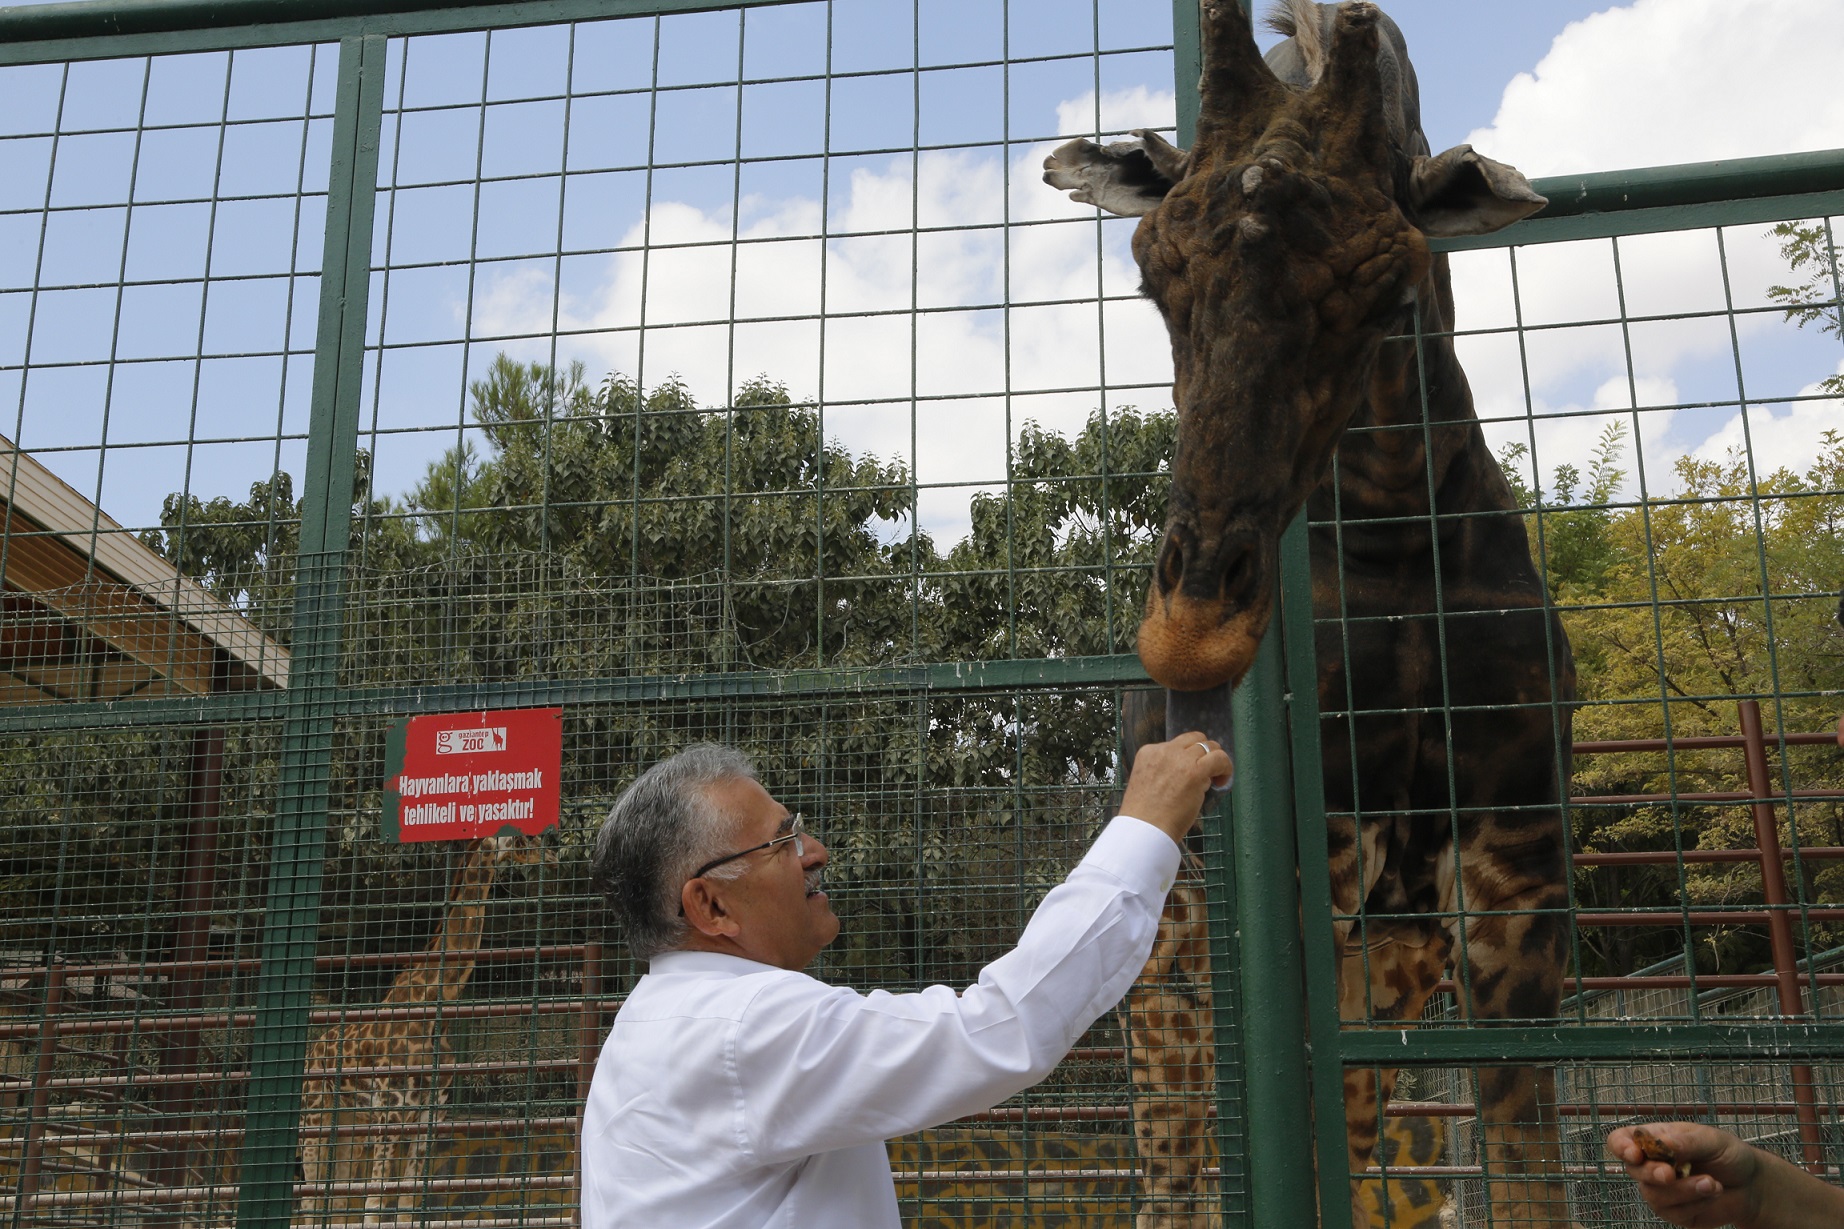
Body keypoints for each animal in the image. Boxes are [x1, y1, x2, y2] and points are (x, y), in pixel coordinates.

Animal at [298, 826, 545, 1217]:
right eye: (522, 838)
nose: (546, 854)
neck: (433, 1010)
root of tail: (312, 1051)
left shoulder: (429, 1119)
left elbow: (406, 1204)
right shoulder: (390, 1111)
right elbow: (374, 1203)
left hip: (351, 1124)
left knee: (334, 1197)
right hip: (315, 1118)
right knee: (309, 1196)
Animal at [1062, 4, 1578, 1217]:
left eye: (1389, 284)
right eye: (1152, 274)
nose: (1192, 629)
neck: (1395, 523)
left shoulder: (1516, 836)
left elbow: (1518, 1150)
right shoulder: (1320, 834)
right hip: (1173, 953)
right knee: (1175, 1161)